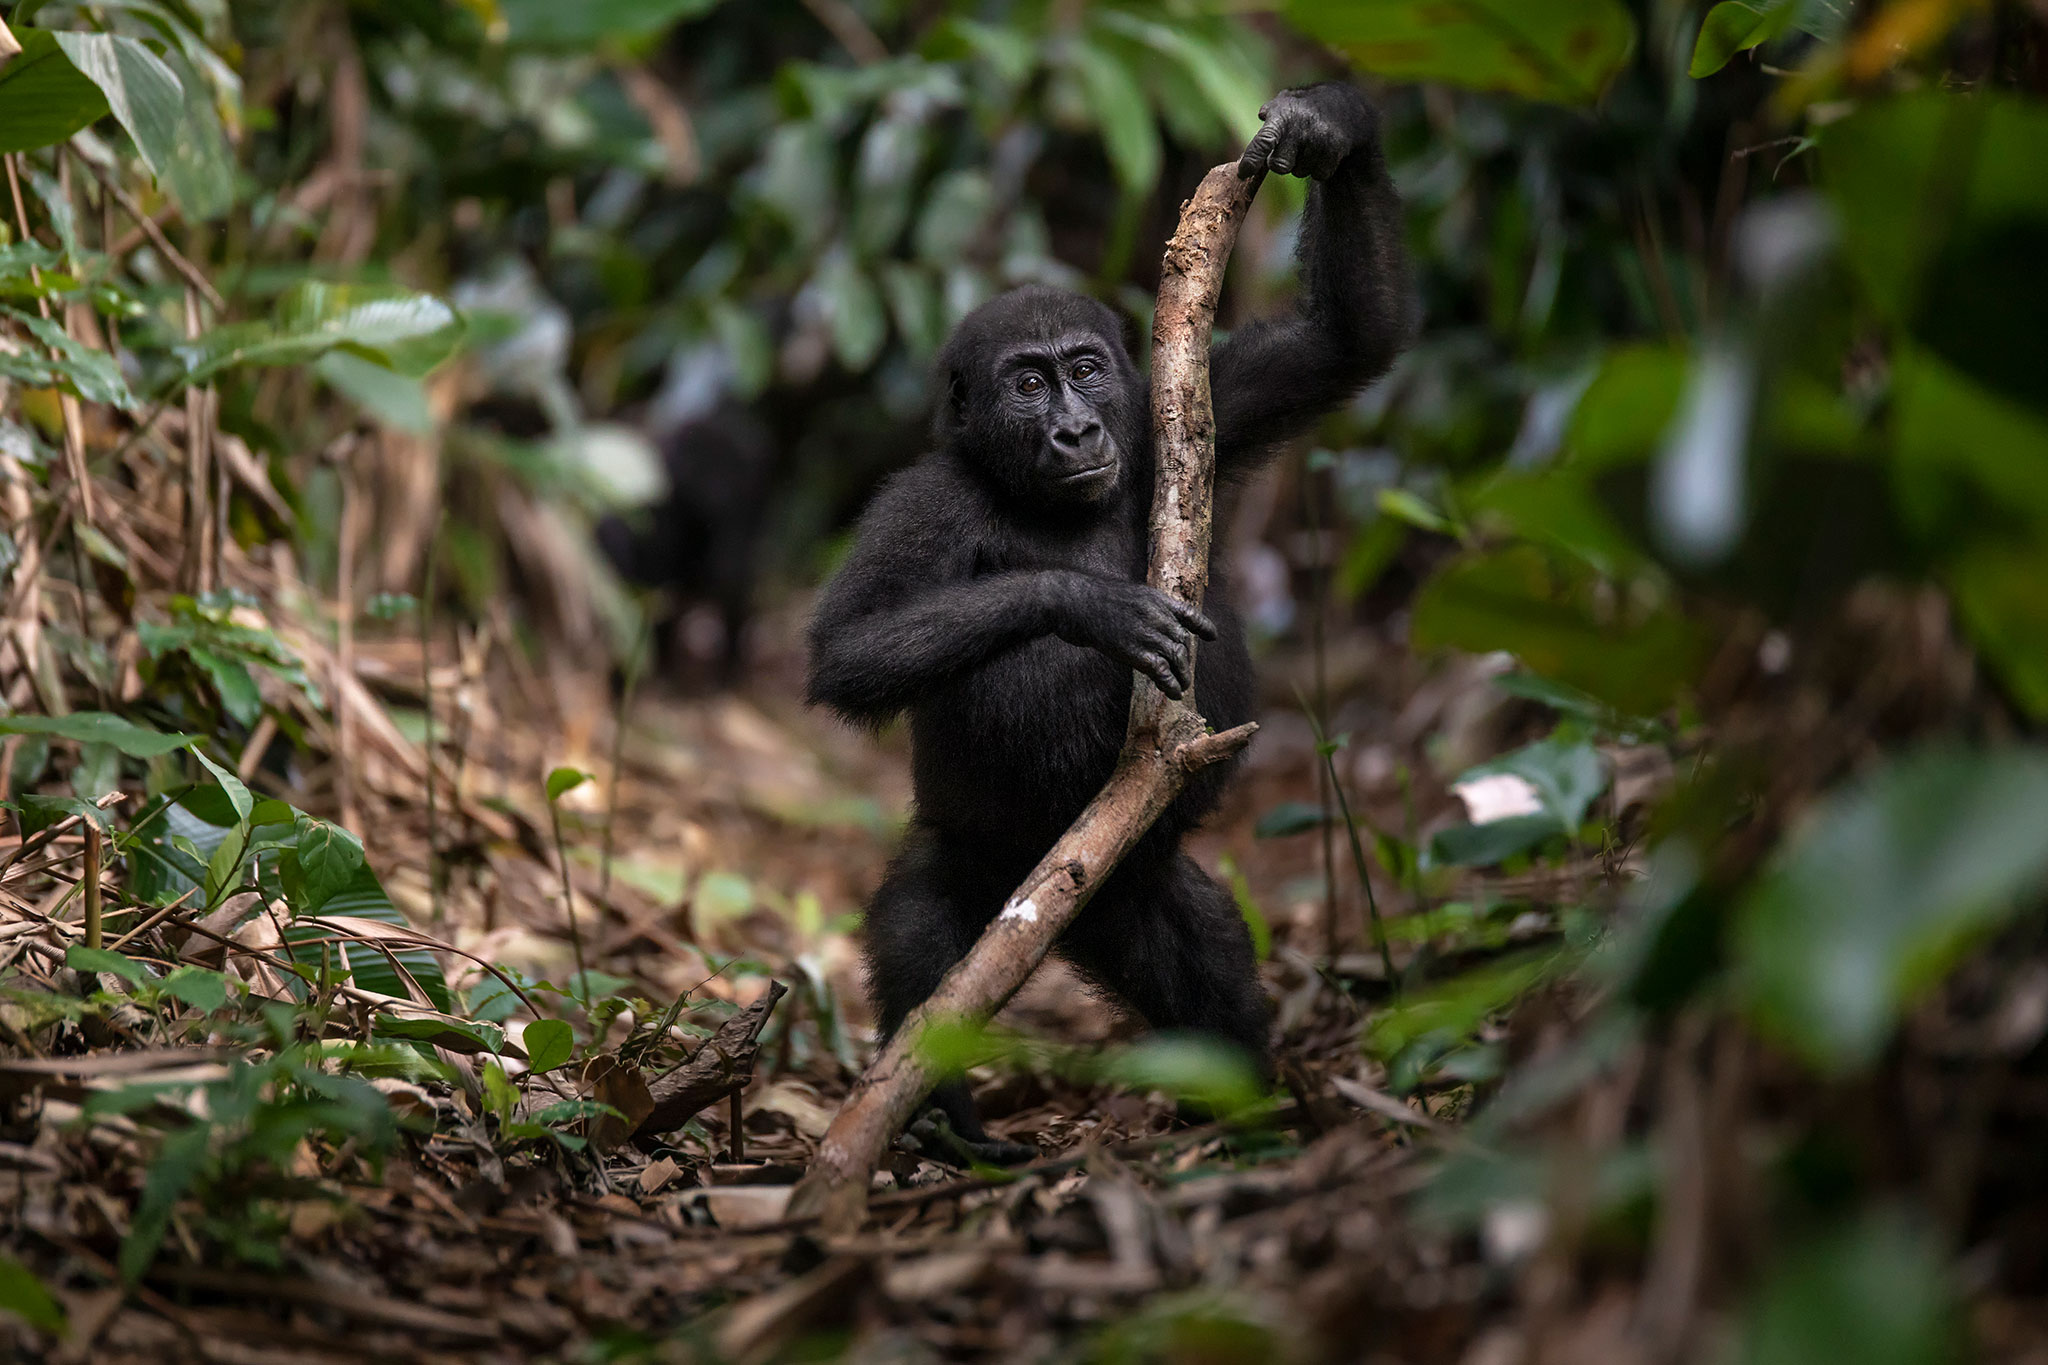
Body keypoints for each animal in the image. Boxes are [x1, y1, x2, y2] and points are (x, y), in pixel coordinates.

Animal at [806, 80, 1417, 1162]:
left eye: (1086, 369)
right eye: (1026, 382)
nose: (1075, 429)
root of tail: (1061, 904)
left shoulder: (1202, 409)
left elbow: (1345, 342)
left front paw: (1324, 129)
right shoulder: (919, 503)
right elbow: (848, 649)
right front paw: (1088, 604)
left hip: (1127, 882)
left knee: (1194, 944)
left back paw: (1246, 1103)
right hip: (982, 864)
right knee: (921, 934)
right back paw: (949, 1118)